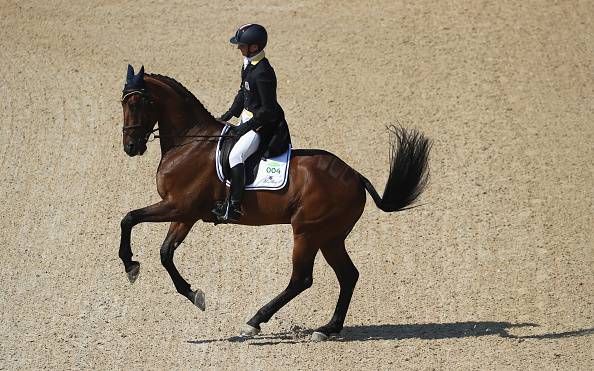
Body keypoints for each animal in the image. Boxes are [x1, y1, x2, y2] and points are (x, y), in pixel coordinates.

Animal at [118, 64, 428, 342]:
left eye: (138, 102)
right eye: (122, 102)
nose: (131, 147)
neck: (190, 142)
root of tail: (356, 176)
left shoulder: (179, 206)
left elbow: (130, 218)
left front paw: (131, 266)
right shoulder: (184, 214)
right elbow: (165, 252)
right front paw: (193, 294)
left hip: (307, 232)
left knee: (302, 279)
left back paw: (255, 322)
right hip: (331, 237)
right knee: (348, 275)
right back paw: (328, 328)